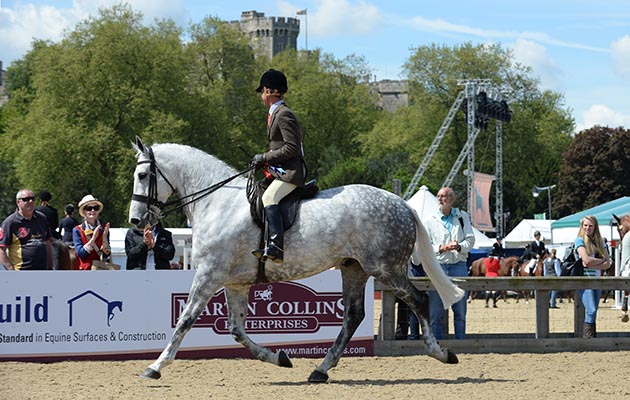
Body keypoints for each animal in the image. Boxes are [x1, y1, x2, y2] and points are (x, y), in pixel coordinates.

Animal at [128, 138, 464, 384]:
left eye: (143, 175)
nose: (135, 221)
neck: (217, 203)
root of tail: (403, 205)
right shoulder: (235, 282)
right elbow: (236, 330)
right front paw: (279, 358)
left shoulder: (209, 273)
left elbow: (186, 319)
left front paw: (155, 366)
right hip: (354, 268)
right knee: (353, 315)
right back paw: (320, 370)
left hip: (385, 268)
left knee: (419, 299)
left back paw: (442, 353)